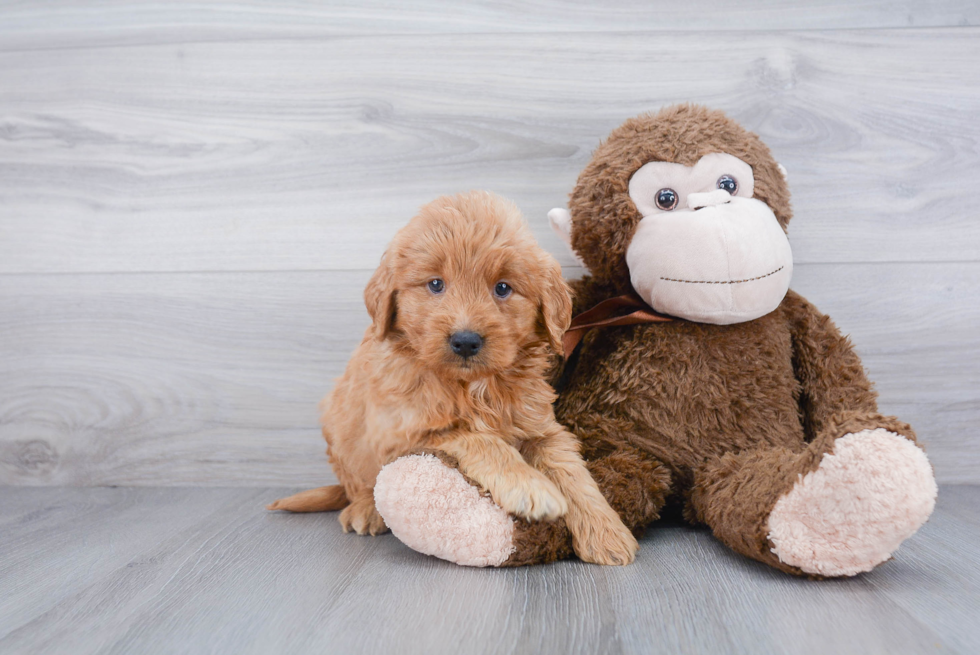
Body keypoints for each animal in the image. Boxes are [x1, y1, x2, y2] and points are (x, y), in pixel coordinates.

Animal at [268, 188, 640, 564]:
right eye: (435, 284)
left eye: (502, 288)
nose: (465, 340)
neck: (475, 387)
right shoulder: (407, 430)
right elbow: (479, 438)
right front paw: (530, 487)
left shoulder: (541, 427)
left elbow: (571, 471)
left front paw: (608, 532)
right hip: (341, 430)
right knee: (360, 483)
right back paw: (366, 511)